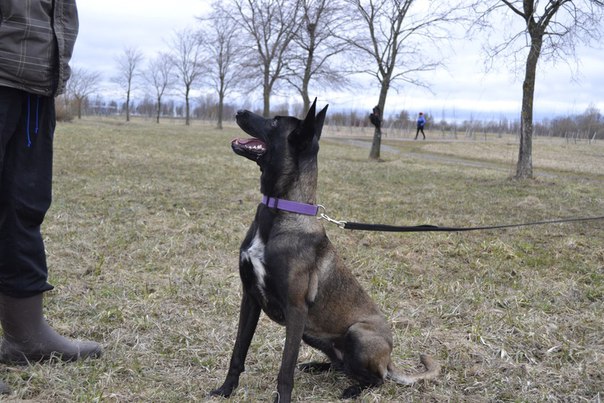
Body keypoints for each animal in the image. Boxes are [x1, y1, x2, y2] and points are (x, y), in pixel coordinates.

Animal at [209, 99, 438, 402]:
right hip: (315, 335)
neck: (280, 209)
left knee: (377, 379)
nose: (239, 111)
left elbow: (285, 369)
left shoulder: (296, 310)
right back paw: (318, 366)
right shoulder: (250, 298)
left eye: (275, 121)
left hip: (357, 333)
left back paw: (353, 389)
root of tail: (389, 359)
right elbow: (239, 350)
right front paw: (226, 389)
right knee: (341, 365)